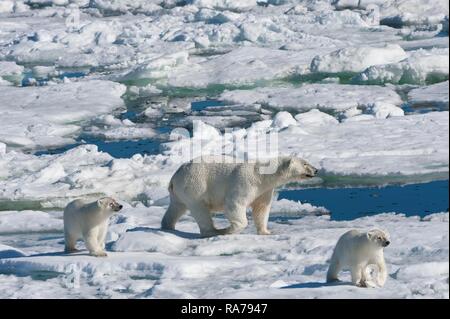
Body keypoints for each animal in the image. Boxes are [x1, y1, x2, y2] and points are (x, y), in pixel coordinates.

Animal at [160, 156, 318, 236]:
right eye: (305, 164)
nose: (316, 170)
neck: (261, 175)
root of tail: (174, 176)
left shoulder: (263, 190)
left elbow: (261, 209)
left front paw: (266, 231)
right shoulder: (245, 181)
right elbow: (235, 204)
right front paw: (229, 229)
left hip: (180, 192)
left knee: (176, 208)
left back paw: (168, 226)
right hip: (195, 185)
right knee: (200, 209)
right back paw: (214, 231)